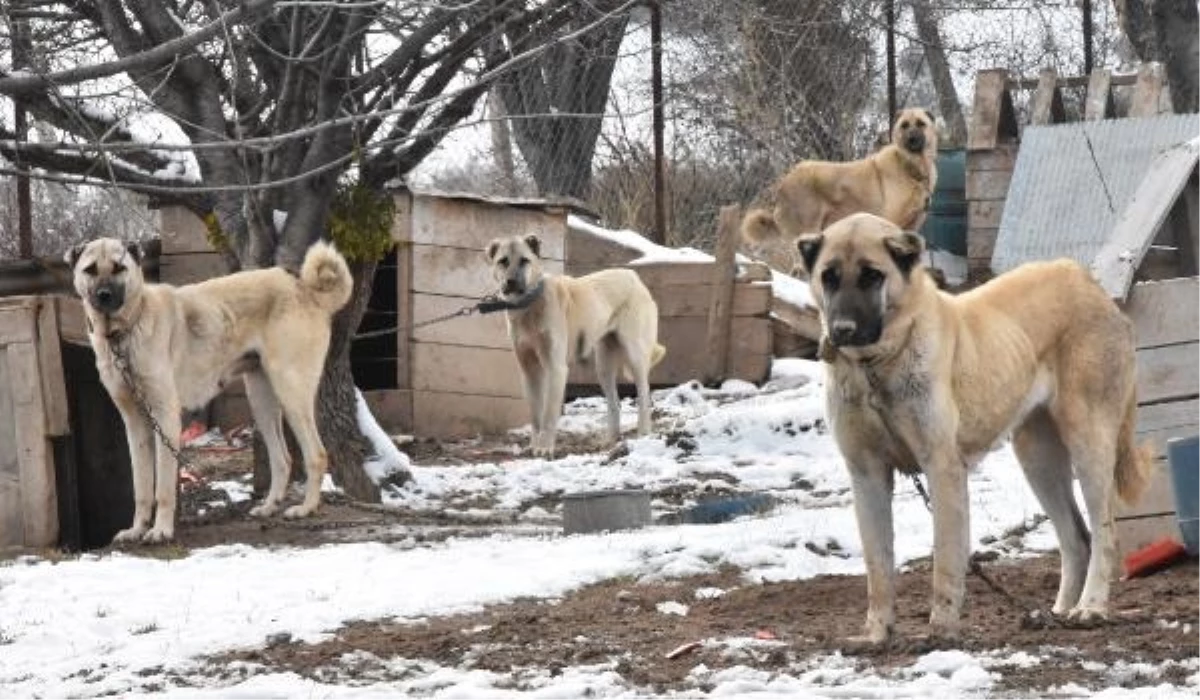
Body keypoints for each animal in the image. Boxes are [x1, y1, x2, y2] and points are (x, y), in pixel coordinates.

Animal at [482, 232, 667, 456]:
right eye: (503, 261)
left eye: (524, 261)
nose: (511, 282)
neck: (529, 305)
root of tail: (633, 276)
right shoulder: (529, 370)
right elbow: (536, 415)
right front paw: (535, 445)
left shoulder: (556, 368)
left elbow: (549, 414)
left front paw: (545, 448)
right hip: (603, 367)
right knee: (615, 403)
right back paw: (610, 440)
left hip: (635, 356)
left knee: (644, 395)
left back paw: (643, 434)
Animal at [796, 213, 1152, 648]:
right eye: (828, 277)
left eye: (871, 276)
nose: (843, 329)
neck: (876, 366)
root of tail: (1087, 281)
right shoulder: (866, 475)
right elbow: (878, 566)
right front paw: (877, 634)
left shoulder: (942, 468)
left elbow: (945, 559)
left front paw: (941, 630)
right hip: (1037, 459)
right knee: (1075, 539)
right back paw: (1056, 615)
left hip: (1089, 442)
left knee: (1104, 534)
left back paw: (1091, 608)